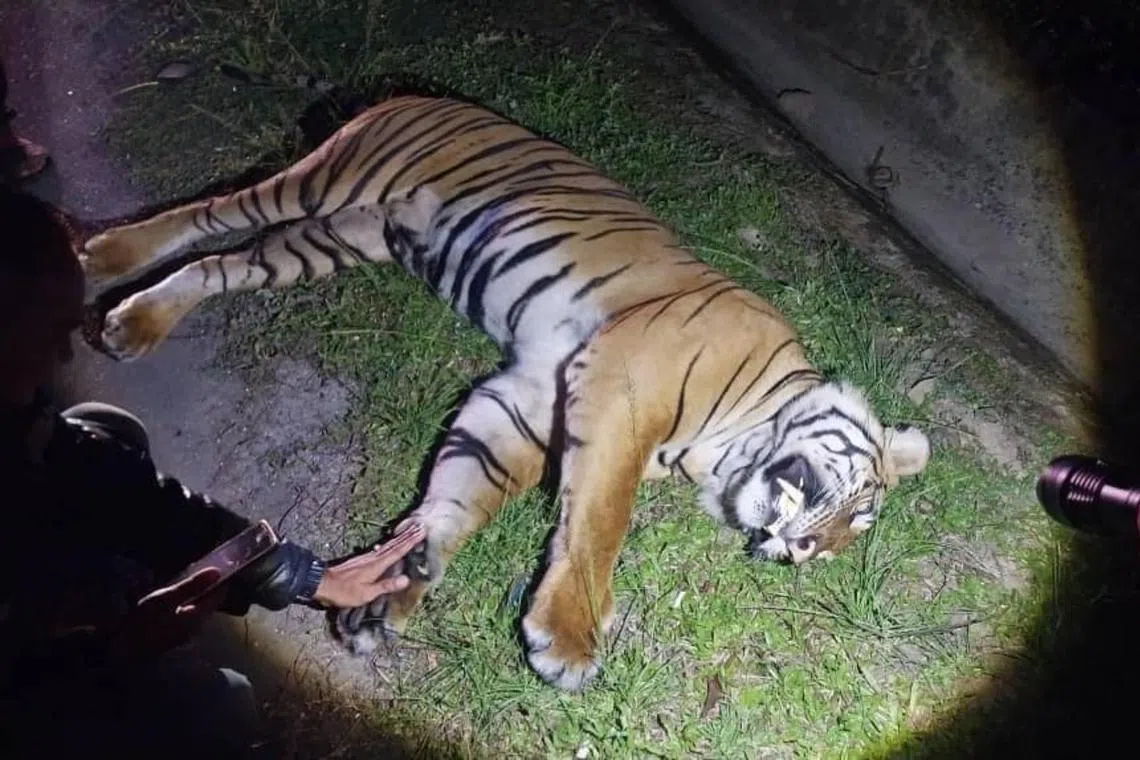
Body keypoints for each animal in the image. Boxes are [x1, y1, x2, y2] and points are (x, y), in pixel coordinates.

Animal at [80, 94, 930, 692]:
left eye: (842, 542)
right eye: (858, 509)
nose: (800, 551)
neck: (722, 448)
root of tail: (423, 94)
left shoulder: (523, 403)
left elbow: (461, 495)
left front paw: (393, 591)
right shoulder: (621, 387)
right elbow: (601, 519)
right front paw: (570, 637)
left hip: (335, 239)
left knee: (222, 265)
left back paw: (135, 321)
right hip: (324, 179)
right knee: (209, 212)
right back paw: (103, 254)